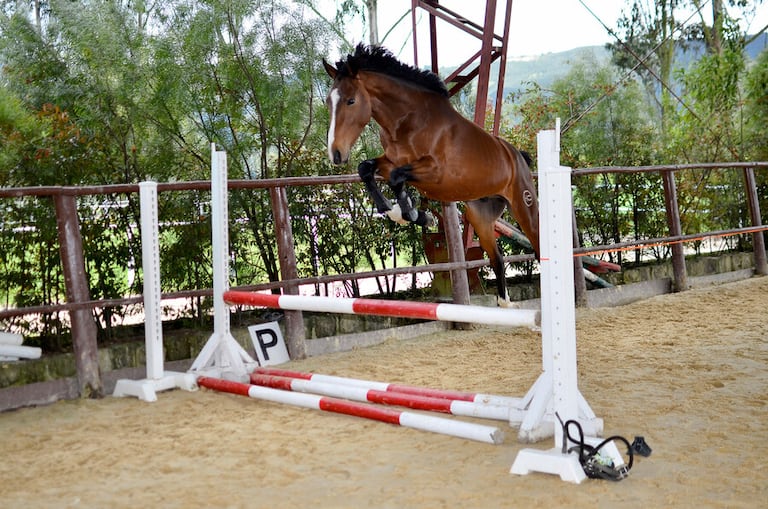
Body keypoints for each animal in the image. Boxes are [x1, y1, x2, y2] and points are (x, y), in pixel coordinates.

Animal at [323, 44, 540, 307]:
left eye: (351, 100)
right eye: (328, 102)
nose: (336, 154)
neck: (408, 121)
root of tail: (517, 156)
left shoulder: (437, 172)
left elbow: (397, 178)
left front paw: (415, 215)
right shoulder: (391, 161)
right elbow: (368, 169)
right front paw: (399, 212)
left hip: (525, 208)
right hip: (480, 217)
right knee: (497, 259)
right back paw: (504, 302)